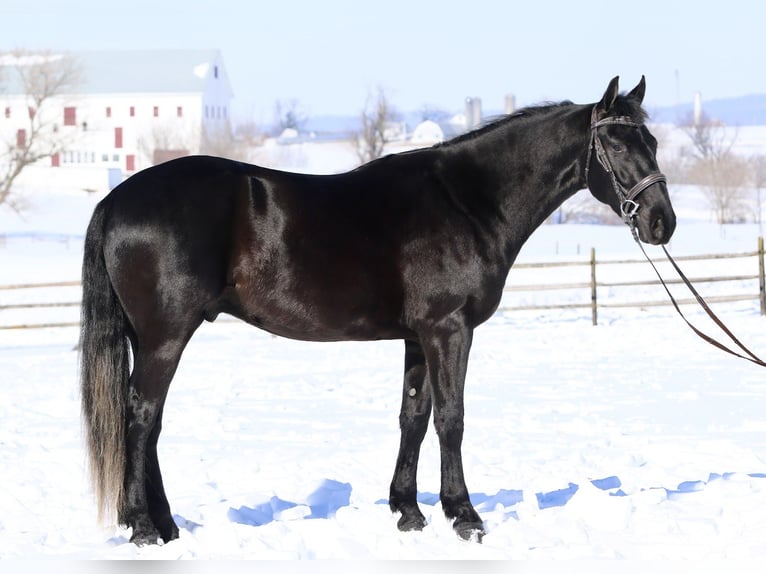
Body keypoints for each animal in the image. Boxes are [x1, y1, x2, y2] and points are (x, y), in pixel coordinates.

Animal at [79, 76, 676, 545]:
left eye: (650, 139)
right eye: (616, 144)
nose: (661, 222)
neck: (467, 201)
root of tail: (115, 199)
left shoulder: (418, 336)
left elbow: (414, 416)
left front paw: (408, 512)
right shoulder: (449, 330)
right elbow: (452, 417)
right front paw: (464, 516)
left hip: (149, 337)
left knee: (150, 421)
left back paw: (165, 524)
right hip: (165, 336)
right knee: (141, 415)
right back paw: (144, 527)